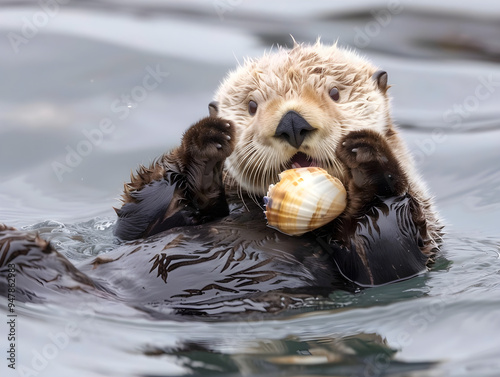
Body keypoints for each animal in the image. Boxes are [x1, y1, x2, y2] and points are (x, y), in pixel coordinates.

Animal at [0, 41, 442, 314]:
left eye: (334, 93)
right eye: (251, 106)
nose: (292, 122)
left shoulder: (418, 241)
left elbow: (381, 254)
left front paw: (369, 161)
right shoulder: (141, 224)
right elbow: (137, 221)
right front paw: (202, 146)